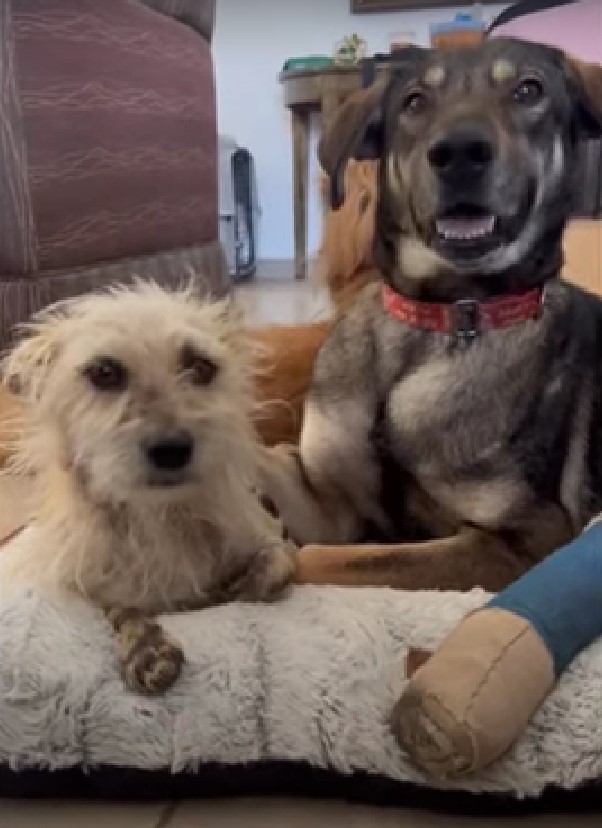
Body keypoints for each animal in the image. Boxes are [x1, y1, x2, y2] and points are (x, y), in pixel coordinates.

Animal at [1, 282, 296, 696]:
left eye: (201, 367)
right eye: (104, 371)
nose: (171, 449)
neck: (159, 518)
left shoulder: (262, 533)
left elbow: (278, 561)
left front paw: (247, 586)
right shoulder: (96, 586)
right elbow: (125, 607)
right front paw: (146, 646)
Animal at [260, 38, 600, 592]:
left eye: (529, 90)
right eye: (414, 102)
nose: (459, 154)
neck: (432, 317)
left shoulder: (524, 538)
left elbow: (327, 560)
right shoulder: (333, 503)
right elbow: (266, 458)